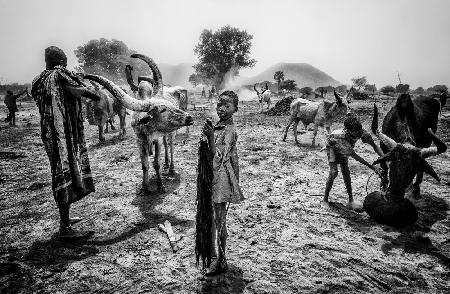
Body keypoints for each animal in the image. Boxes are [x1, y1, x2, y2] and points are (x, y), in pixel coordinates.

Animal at [84, 54, 193, 193]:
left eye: (171, 106)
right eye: (162, 110)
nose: (189, 117)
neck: (146, 128)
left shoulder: (156, 141)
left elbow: (156, 164)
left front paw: (160, 186)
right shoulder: (139, 142)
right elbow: (144, 165)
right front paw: (144, 187)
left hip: (171, 132)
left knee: (171, 146)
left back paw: (171, 168)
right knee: (166, 145)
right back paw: (167, 163)